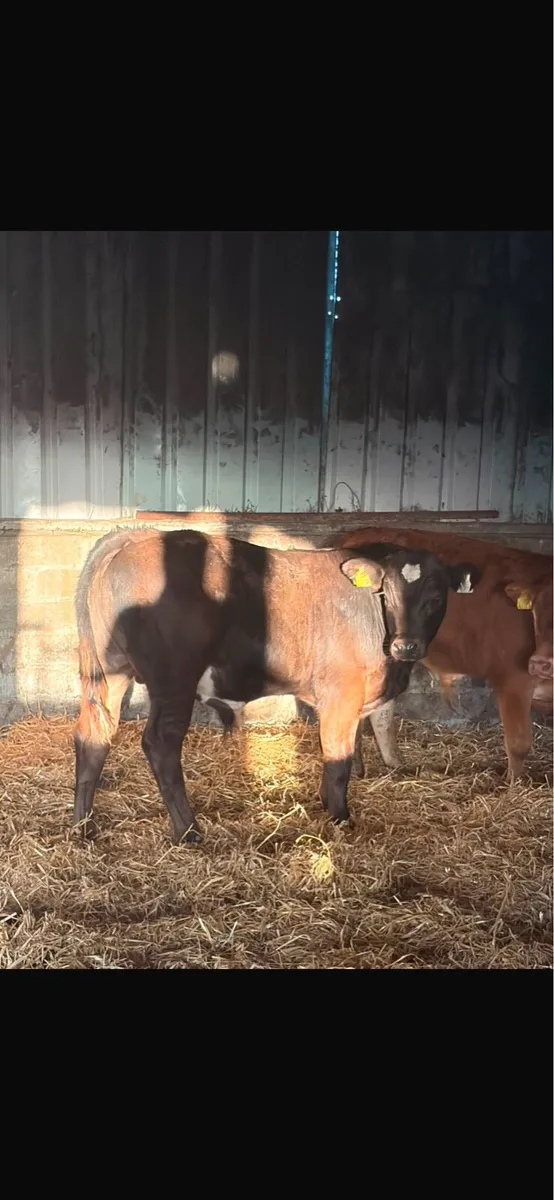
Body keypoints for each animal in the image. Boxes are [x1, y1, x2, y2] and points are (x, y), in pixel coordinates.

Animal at [73, 528, 479, 844]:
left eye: (437, 598)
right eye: (387, 594)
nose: (406, 646)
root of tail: (136, 537)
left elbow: (339, 752)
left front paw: (326, 804)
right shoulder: (341, 695)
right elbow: (339, 761)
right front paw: (340, 818)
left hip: (110, 673)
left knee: (92, 734)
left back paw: (83, 825)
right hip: (174, 680)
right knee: (160, 744)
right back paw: (188, 830)